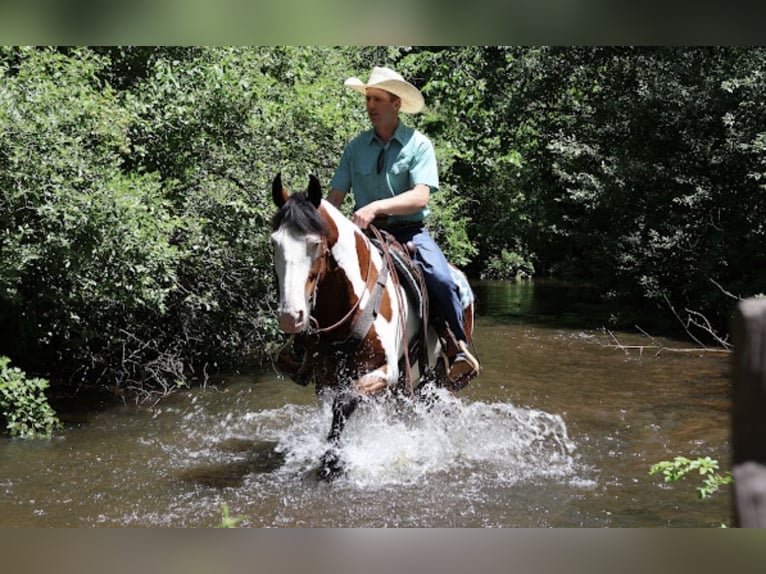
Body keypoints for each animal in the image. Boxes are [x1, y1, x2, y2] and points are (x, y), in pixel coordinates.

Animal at [269, 173, 476, 480]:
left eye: (314, 243)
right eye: (274, 243)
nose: (290, 316)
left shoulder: (384, 372)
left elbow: (343, 403)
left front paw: (333, 461)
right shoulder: (325, 378)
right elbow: (334, 409)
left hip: (438, 375)